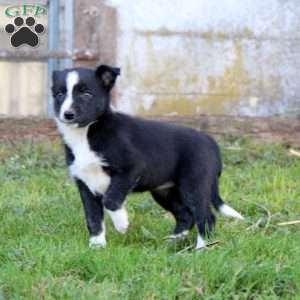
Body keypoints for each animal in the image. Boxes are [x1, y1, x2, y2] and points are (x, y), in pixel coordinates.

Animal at [51, 64, 244, 250]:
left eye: (86, 94)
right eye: (59, 94)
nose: (68, 114)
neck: (87, 132)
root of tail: (211, 141)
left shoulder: (131, 168)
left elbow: (110, 199)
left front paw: (122, 224)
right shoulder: (85, 184)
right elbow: (93, 218)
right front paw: (97, 246)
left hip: (194, 184)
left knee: (206, 216)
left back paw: (201, 248)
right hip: (164, 191)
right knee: (185, 215)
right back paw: (172, 241)